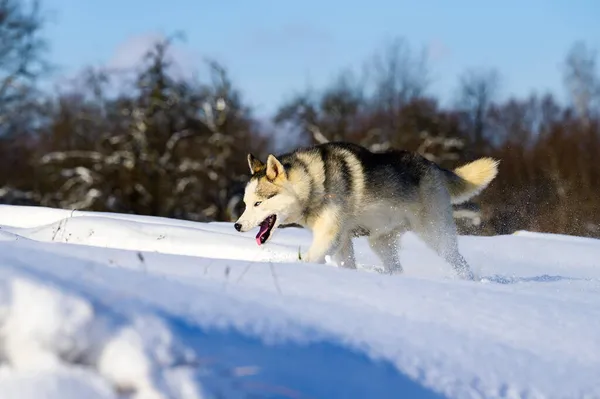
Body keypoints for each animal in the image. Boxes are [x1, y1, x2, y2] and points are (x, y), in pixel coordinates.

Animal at [232, 142, 500, 280]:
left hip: (436, 235)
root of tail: (433, 166)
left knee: (459, 261)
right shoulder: (342, 240)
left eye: (258, 203)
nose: (236, 225)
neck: (313, 183)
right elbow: (346, 263)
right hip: (380, 242)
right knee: (396, 268)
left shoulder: (330, 236)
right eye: (245, 203)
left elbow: (310, 258)